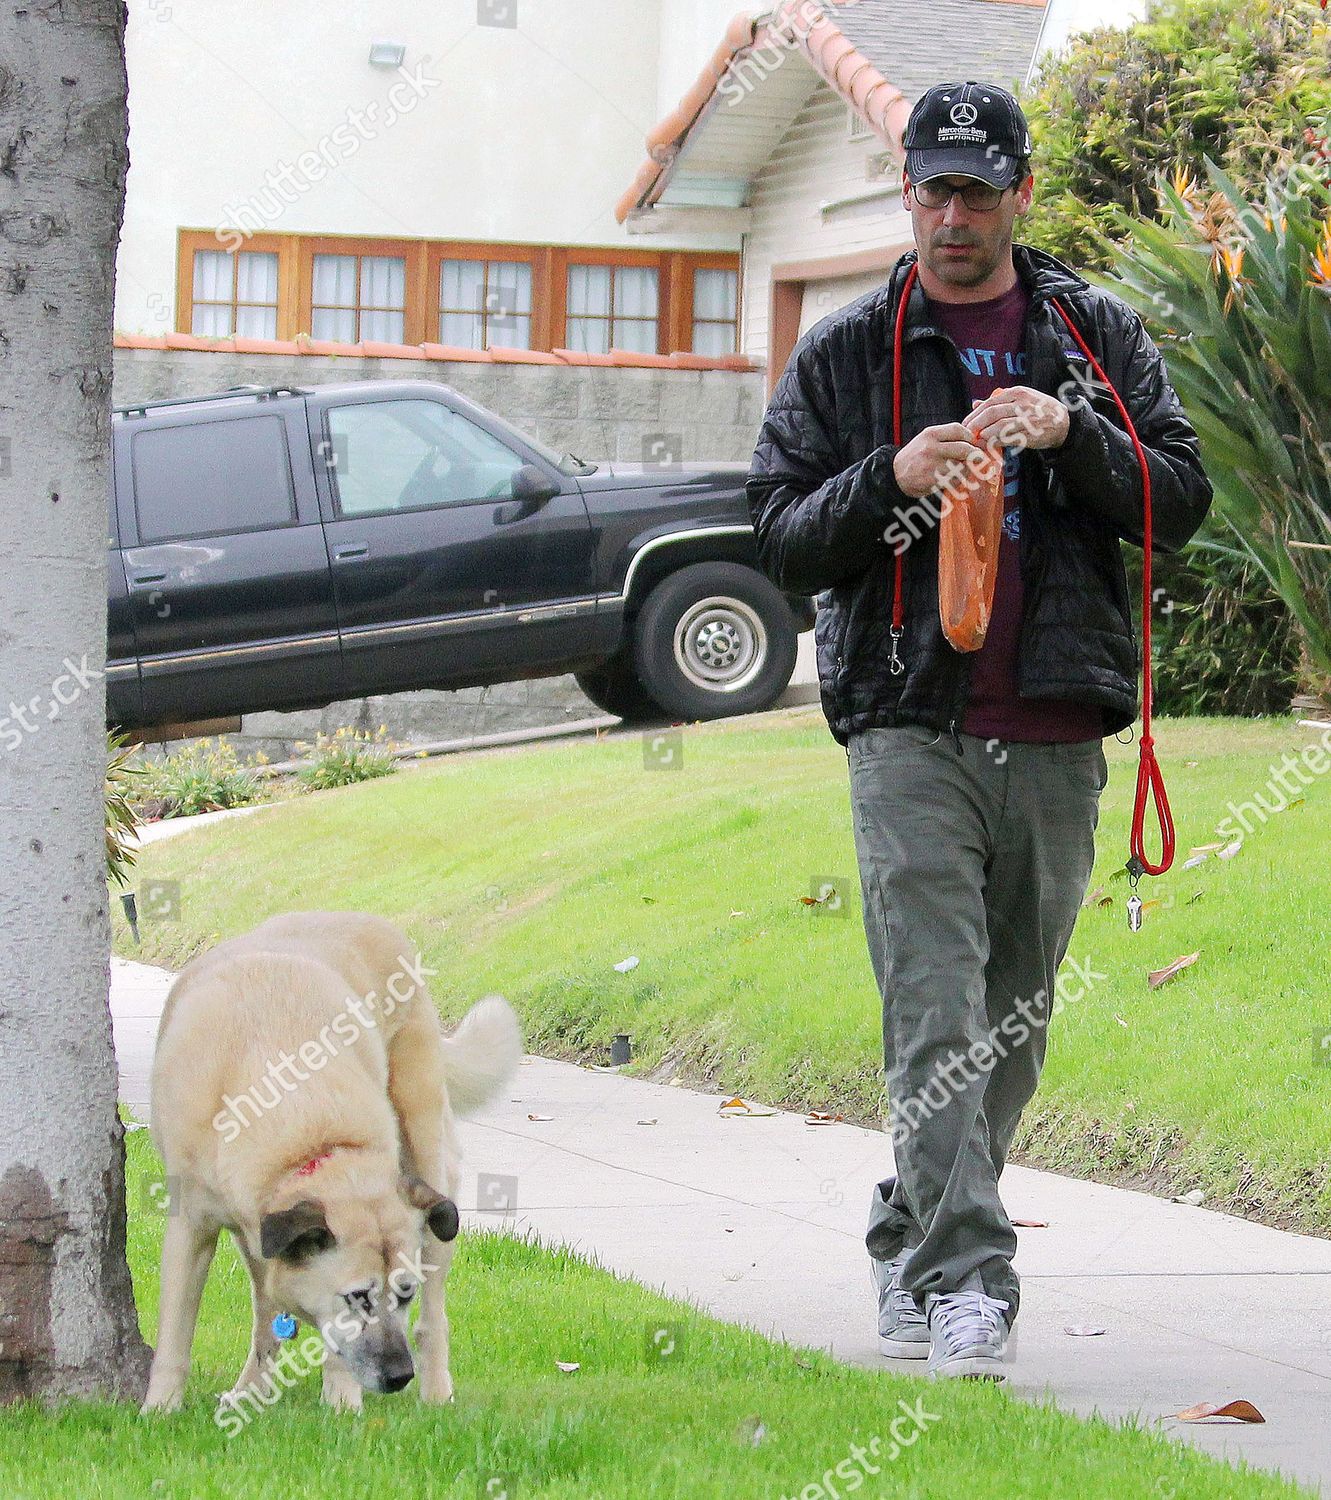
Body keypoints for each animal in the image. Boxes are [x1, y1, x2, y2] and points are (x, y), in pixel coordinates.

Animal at [140, 906, 522, 1410]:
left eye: (403, 1295)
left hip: (429, 1164)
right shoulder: (193, 1225)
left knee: (434, 1311)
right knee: (264, 1308)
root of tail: (372, 920)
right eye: (358, 1297)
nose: (400, 1376)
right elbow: (175, 1335)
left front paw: (342, 1405)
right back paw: (251, 1388)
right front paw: (159, 1409)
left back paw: (437, 1391)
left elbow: (335, 1346)